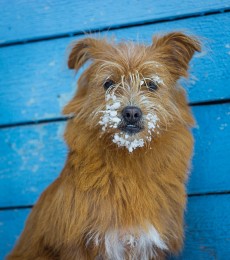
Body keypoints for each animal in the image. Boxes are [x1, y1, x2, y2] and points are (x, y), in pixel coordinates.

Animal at [8, 33, 200, 260]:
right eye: (108, 83)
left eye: (151, 85)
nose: (131, 112)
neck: (128, 162)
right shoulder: (78, 245)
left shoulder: (149, 245)